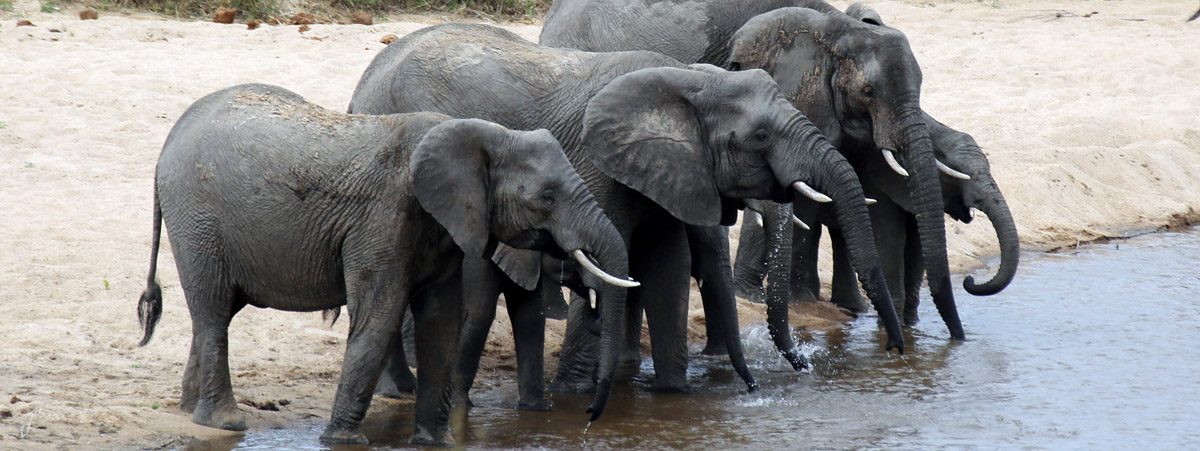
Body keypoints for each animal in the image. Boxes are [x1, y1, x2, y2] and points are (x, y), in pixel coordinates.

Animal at [132, 83, 633, 443]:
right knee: (214, 309)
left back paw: (190, 413)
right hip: (199, 220)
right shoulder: (384, 218)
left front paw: (433, 441)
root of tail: (165, 148)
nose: (590, 417)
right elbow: (381, 314)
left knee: (213, 314)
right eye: (547, 197)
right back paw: (225, 424)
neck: (478, 133)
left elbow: (441, 321)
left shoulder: (441, 229)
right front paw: (343, 442)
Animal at [348, 23, 902, 398]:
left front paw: (672, 396)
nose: (897, 351)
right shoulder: (594, 163)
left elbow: (666, 267)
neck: (683, 81)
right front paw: (577, 397)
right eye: (761, 136)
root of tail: (362, 86)